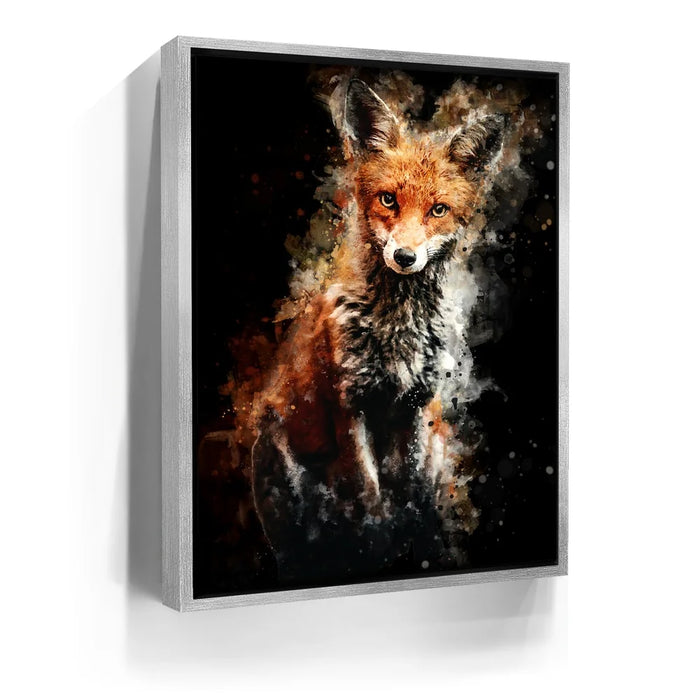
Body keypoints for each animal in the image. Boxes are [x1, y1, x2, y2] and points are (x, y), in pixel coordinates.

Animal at [251, 78, 504, 584]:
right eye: (388, 200)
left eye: (438, 210)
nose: (405, 256)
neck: (397, 329)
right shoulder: (349, 406)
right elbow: (371, 498)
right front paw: (382, 548)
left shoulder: (416, 405)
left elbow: (411, 496)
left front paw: (419, 548)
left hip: (437, 437)